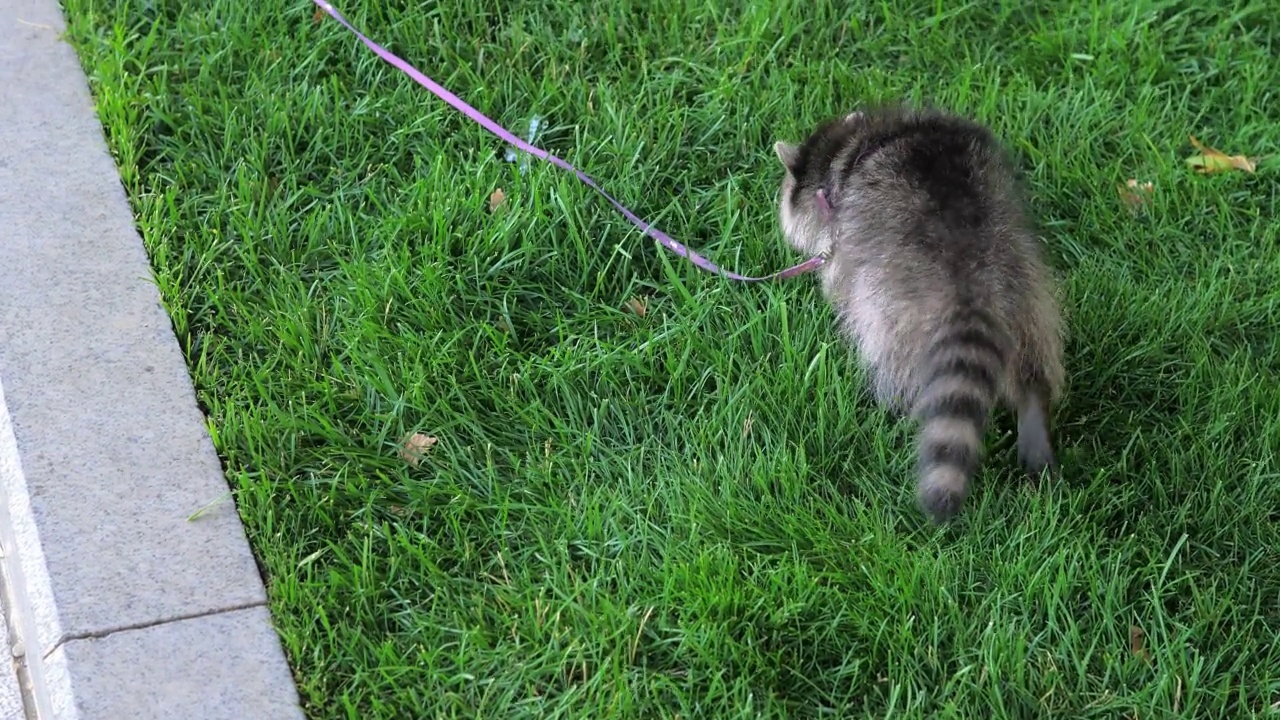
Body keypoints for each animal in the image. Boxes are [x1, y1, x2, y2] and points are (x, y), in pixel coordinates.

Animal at [768, 103, 1070, 517]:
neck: (841, 155)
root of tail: (969, 275)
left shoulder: (845, 249)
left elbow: (838, 281)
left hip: (891, 307)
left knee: (893, 357)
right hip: (1025, 283)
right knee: (1034, 354)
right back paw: (1034, 404)